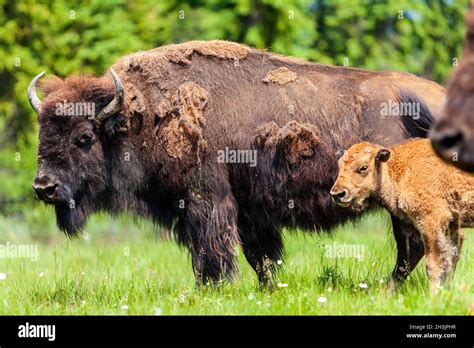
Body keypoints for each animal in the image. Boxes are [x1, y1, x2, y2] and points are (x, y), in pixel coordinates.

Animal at [28, 40, 444, 288]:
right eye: (42, 134)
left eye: (84, 138)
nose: (44, 187)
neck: (137, 117)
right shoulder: (249, 210)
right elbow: (261, 256)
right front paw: (267, 289)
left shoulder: (205, 200)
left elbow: (212, 250)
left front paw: (214, 288)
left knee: (413, 246)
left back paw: (389, 287)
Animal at [332, 138, 472, 290]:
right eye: (339, 165)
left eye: (363, 167)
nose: (337, 194)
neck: (399, 170)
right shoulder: (450, 227)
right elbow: (449, 261)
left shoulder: (431, 222)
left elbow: (433, 264)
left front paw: (433, 293)